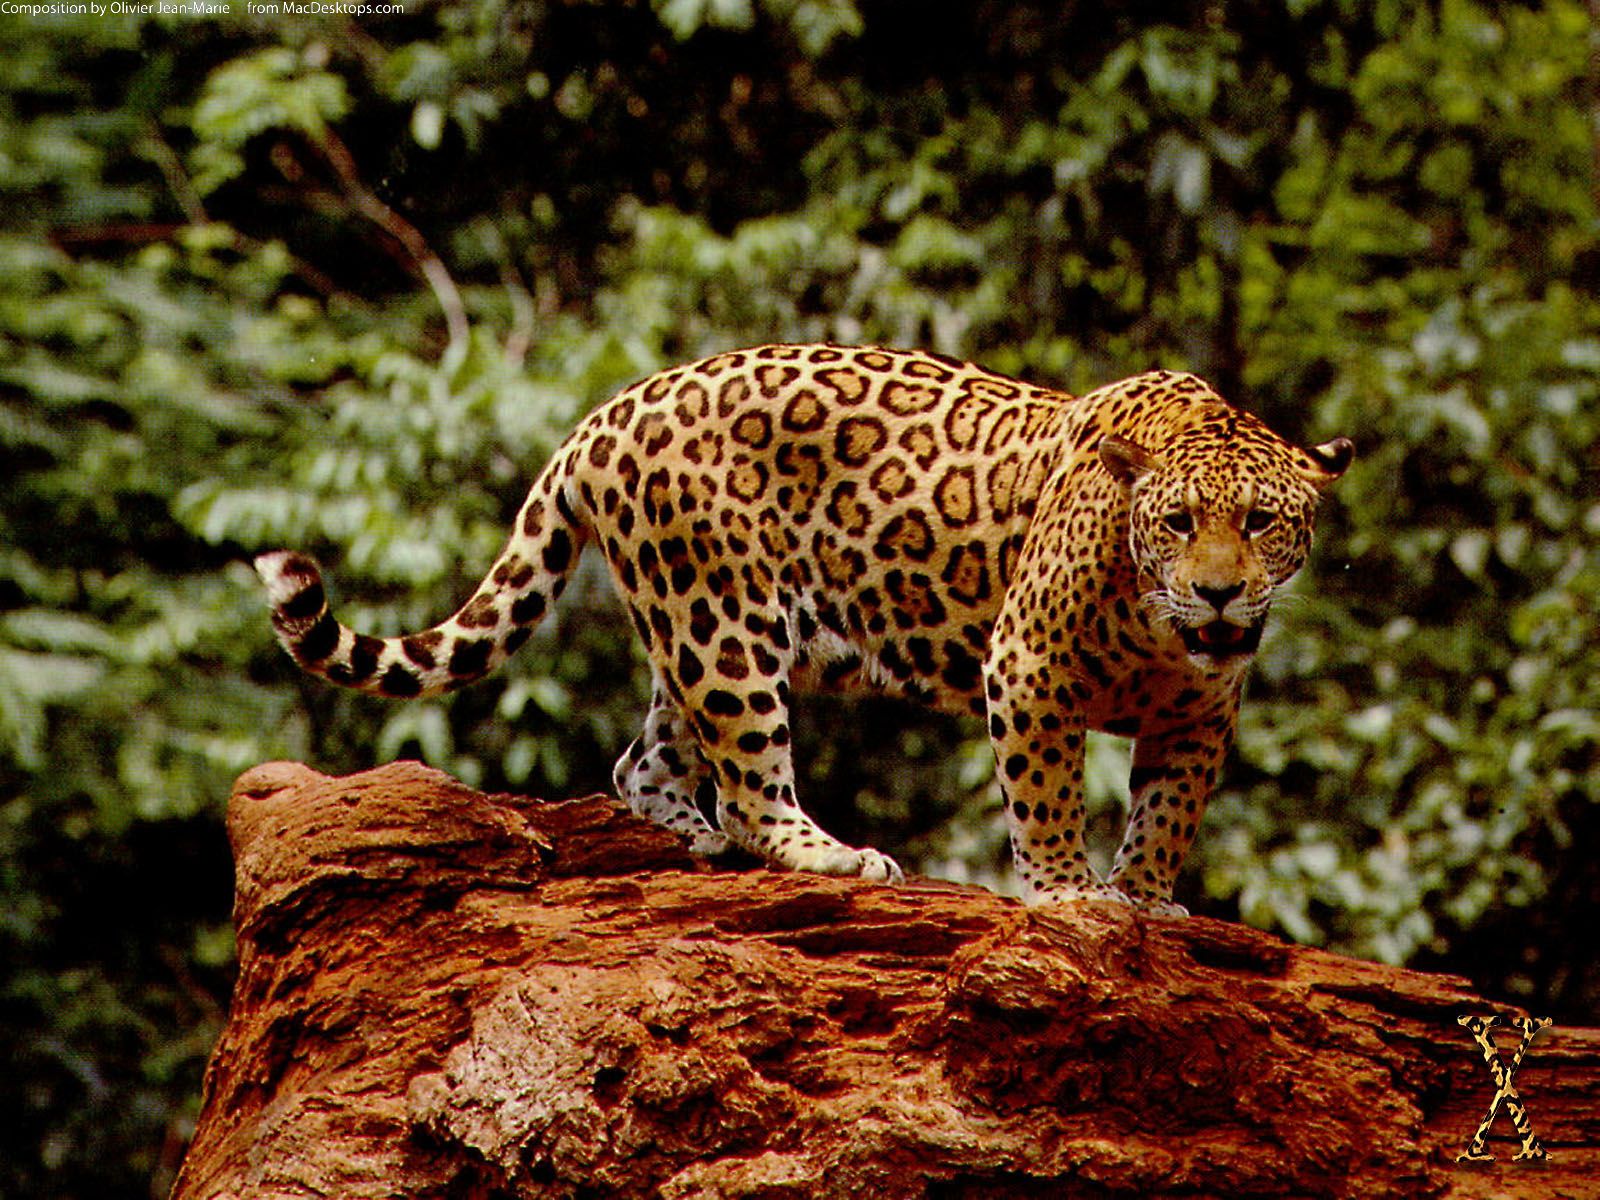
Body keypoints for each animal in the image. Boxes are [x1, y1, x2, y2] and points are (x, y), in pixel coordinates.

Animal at [256, 344, 1351, 915]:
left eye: (1261, 521)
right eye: (1179, 522)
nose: (1219, 594)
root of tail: (607, 412)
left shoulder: (1199, 711)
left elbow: (1168, 811)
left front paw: (1147, 897)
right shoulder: (1027, 665)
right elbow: (1044, 795)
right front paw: (1067, 894)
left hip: (694, 626)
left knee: (643, 761)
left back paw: (693, 840)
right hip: (725, 624)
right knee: (748, 783)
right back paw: (829, 855)